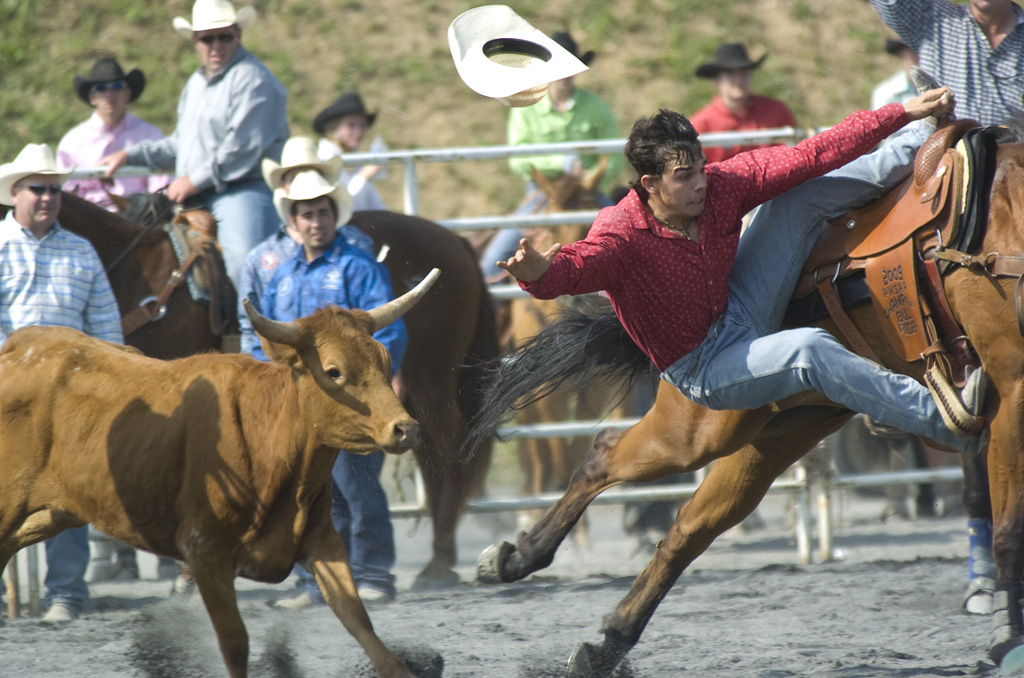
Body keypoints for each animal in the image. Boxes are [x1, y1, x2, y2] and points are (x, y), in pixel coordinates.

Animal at [0, 268, 436, 675]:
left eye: (385, 361)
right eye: (333, 371)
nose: (406, 428)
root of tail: (14, 349)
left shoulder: (320, 540)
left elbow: (358, 619)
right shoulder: (204, 552)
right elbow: (234, 641)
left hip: (51, 514)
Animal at [468, 119, 1024, 675]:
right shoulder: (1011, 382)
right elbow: (1007, 529)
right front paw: (1005, 640)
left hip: (785, 419)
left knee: (690, 528)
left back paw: (602, 640)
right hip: (703, 420)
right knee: (607, 458)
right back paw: (518, 560)